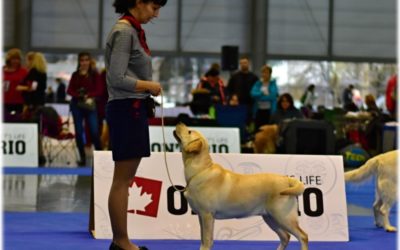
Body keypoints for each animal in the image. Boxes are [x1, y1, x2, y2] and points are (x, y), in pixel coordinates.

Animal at [173, 123, 310, 250]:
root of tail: (287, 179)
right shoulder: (201, 216)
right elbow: (203, 239)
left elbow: (206, 240)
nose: (179, 123)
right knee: (285, 237)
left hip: (283, 216)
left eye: (189, 131)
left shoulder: (207, 215)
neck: (201, 170)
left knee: (302, 236)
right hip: (270, 217)